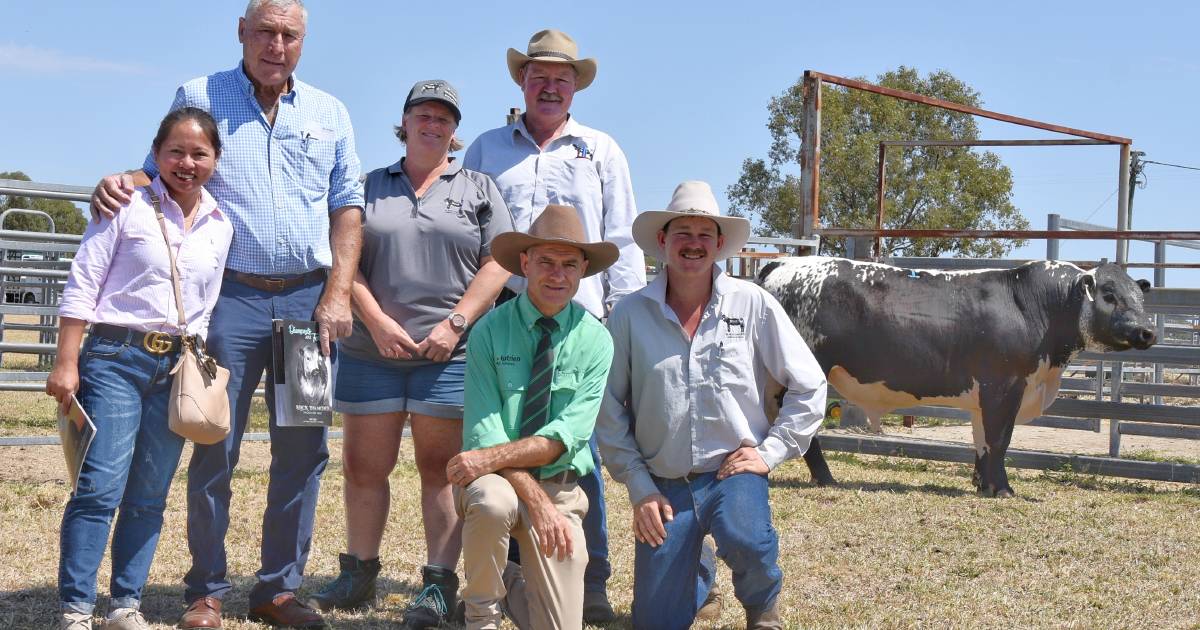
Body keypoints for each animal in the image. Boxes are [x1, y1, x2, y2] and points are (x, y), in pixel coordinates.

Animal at [753, 256, 1156, 496]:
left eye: (1140, 297)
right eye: (1108, 294)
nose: (1147, 332)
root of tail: (784, 262)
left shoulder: (986, 393)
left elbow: (982, 441)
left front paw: (982, 484)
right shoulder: (1004, 387)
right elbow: (999, 440)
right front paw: (1002, 489)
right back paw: (825, 478)